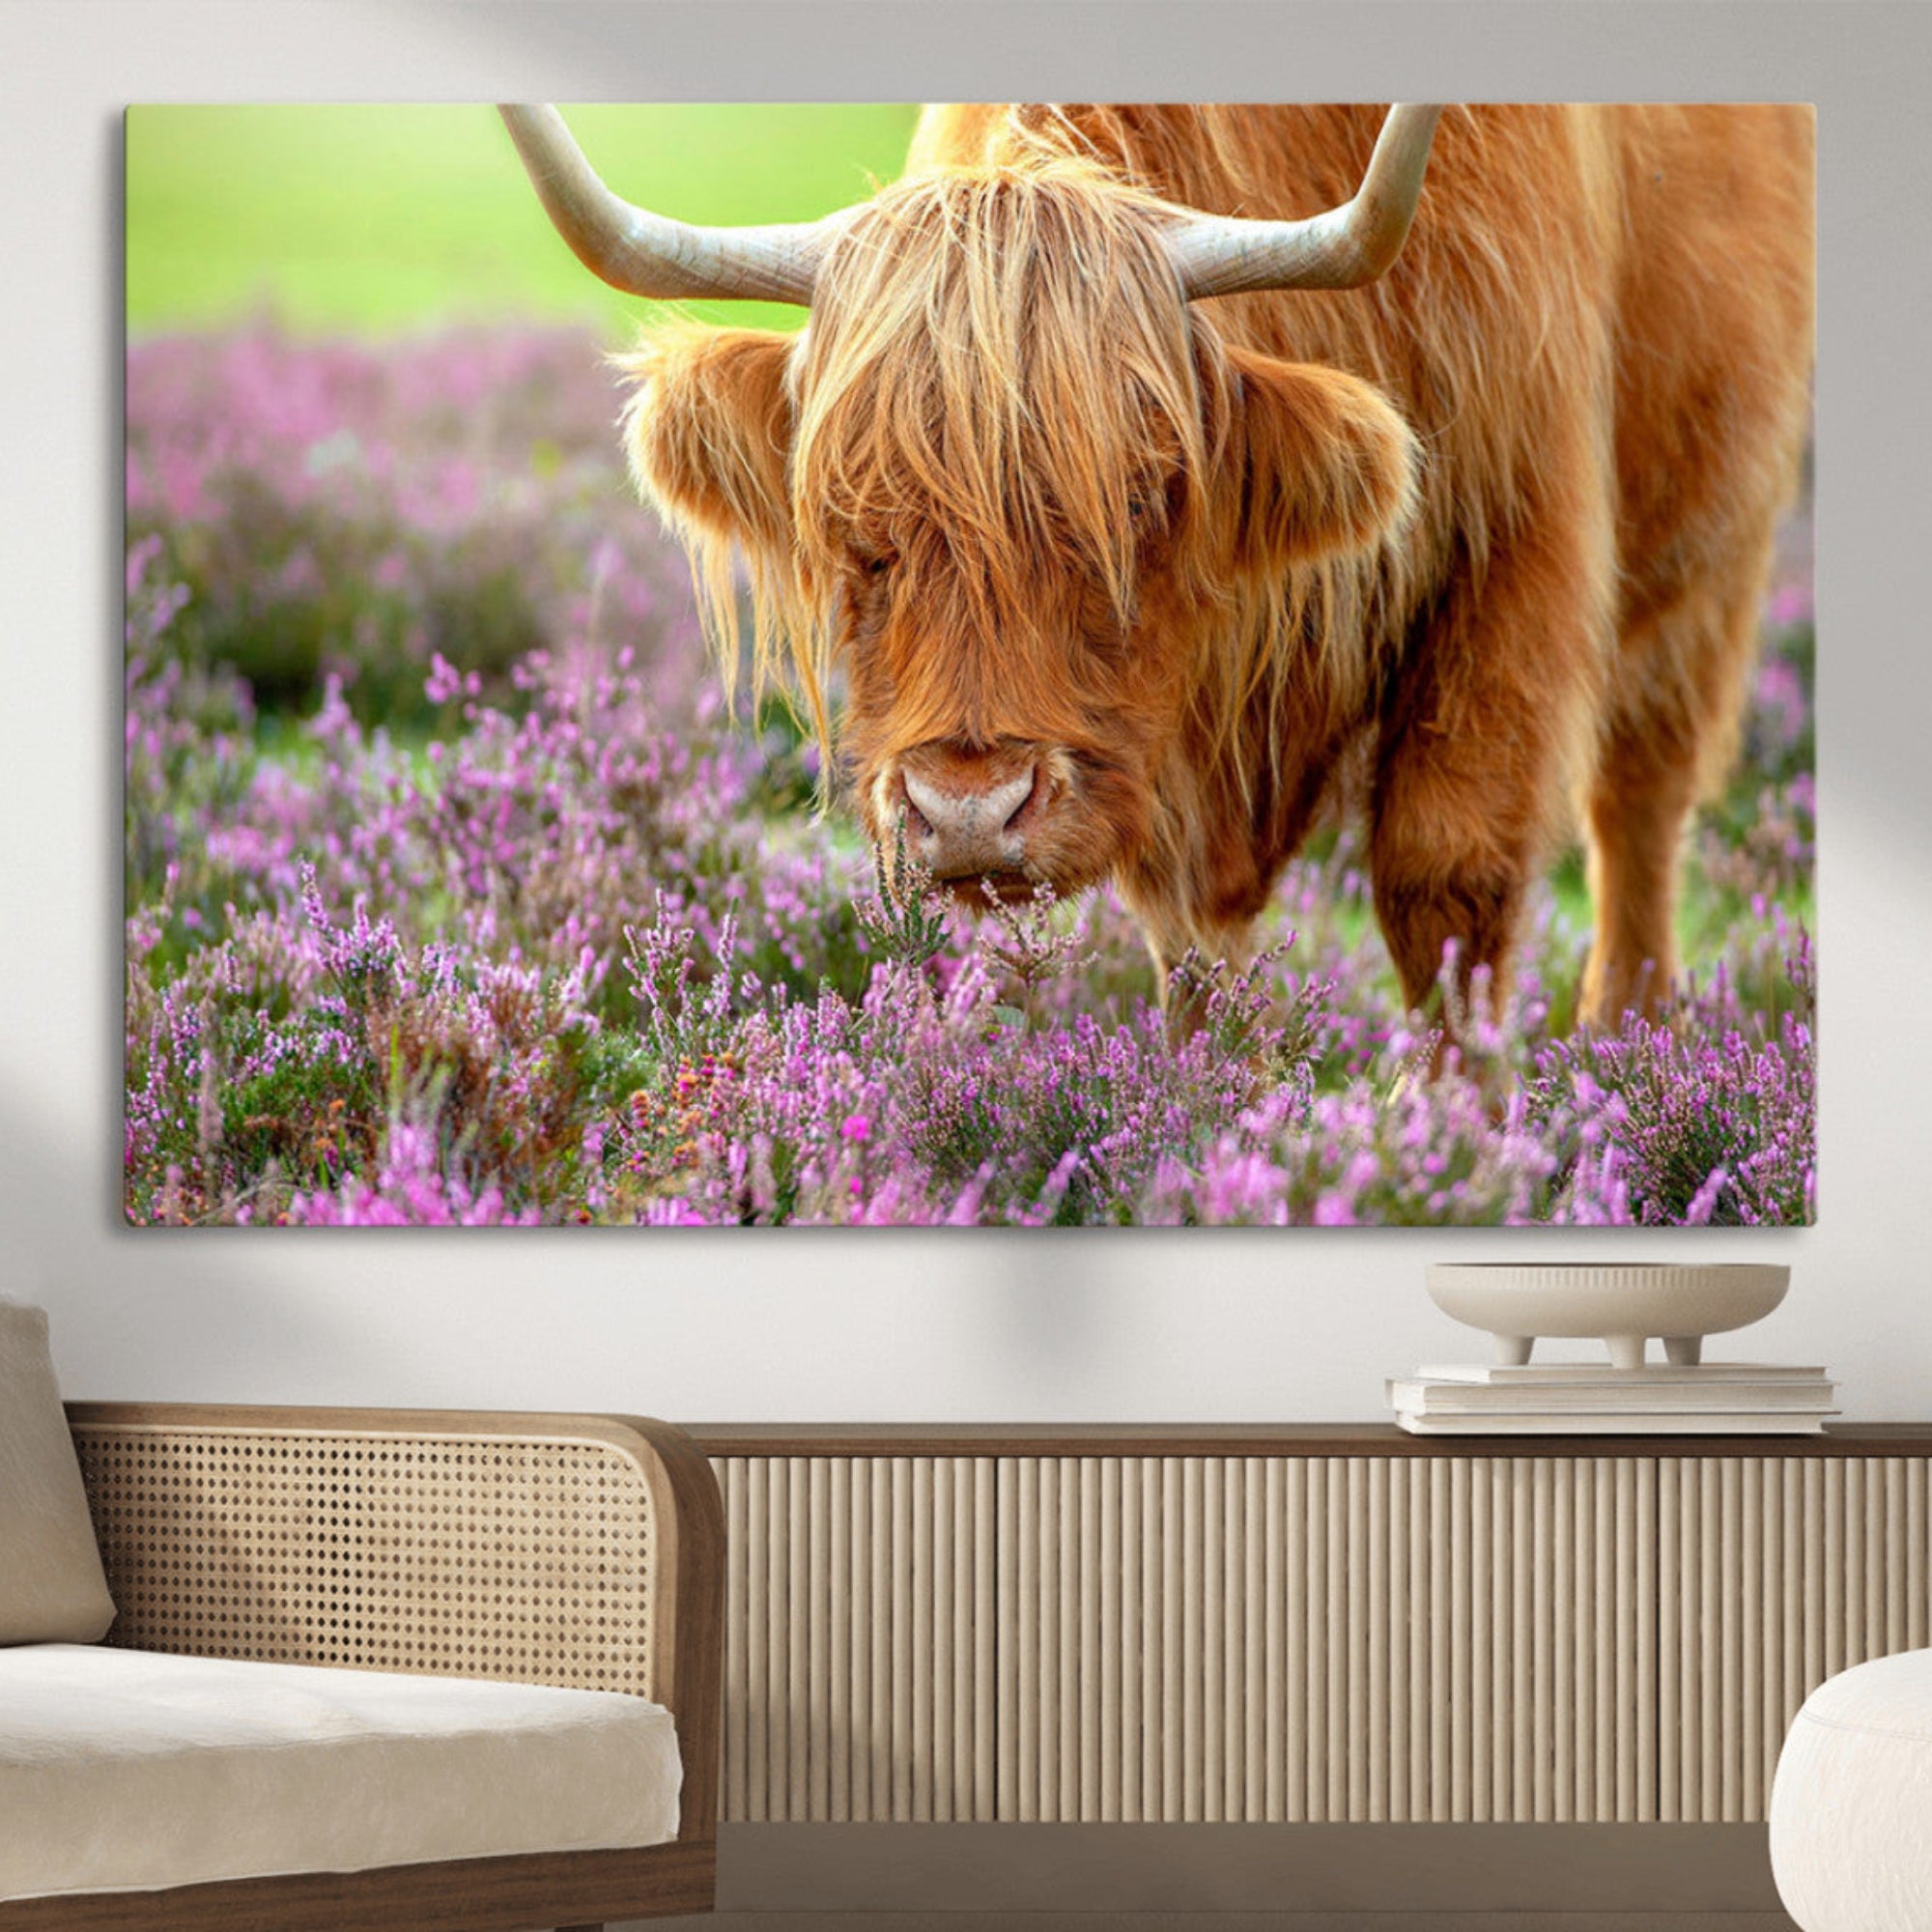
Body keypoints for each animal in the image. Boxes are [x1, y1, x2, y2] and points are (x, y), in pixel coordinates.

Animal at [501, 103, 1814, 1029]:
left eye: (1136, 498)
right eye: (850, 522)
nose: (967, 811)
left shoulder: (1516, 538)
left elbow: (1448, 876)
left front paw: (1451, 1151)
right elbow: (1187, 940)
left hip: (1715, 539)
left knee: (1638, 802)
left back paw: (1624, 1039)